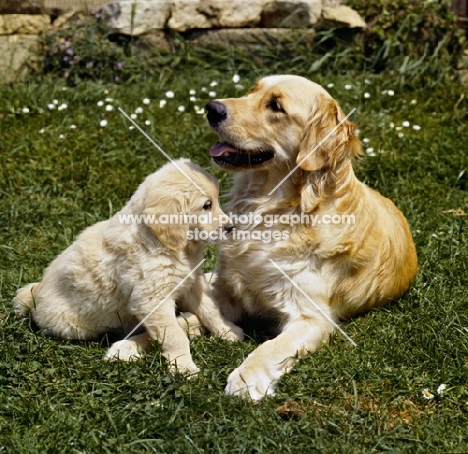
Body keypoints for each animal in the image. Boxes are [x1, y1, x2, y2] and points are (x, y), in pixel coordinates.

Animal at [12, 158, 243, 374]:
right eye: (206, 205)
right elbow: (175, 335)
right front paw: (184, 368)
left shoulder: (193, 283)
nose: (230, 227)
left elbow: (211, 310)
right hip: (73, 326)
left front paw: (228, 331)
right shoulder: (153, 301)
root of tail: (34, 295)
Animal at [205, 75, 416, 400]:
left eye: (276, 106)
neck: (273, 209)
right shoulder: (229, 285)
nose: (211, 108)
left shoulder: (312, 317)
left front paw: (245, 379)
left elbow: (269, 348)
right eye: (252, 90)